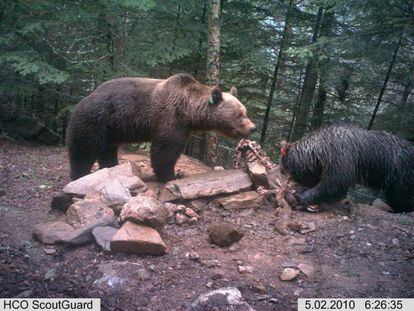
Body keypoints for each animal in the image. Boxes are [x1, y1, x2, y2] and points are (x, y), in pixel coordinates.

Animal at [65, 73, 256, 183]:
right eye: (240, 114)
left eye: (245, 112)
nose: (253, 128)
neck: (189, 112)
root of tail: (82, 100)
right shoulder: (170, 117)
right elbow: (165, 150)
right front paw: (170, 175)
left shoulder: (184, 128)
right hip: (96, 121)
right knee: (84, 149)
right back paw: (79, 173)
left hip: (112, 130)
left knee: (108, 150)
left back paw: (111, 166)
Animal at [282, 123, 414, 212]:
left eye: (289, 169)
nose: (290, 181)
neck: (320, 150)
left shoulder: (341, 156)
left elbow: (336, 182)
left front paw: (303, 196)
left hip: (401, 172)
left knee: (402, 196)